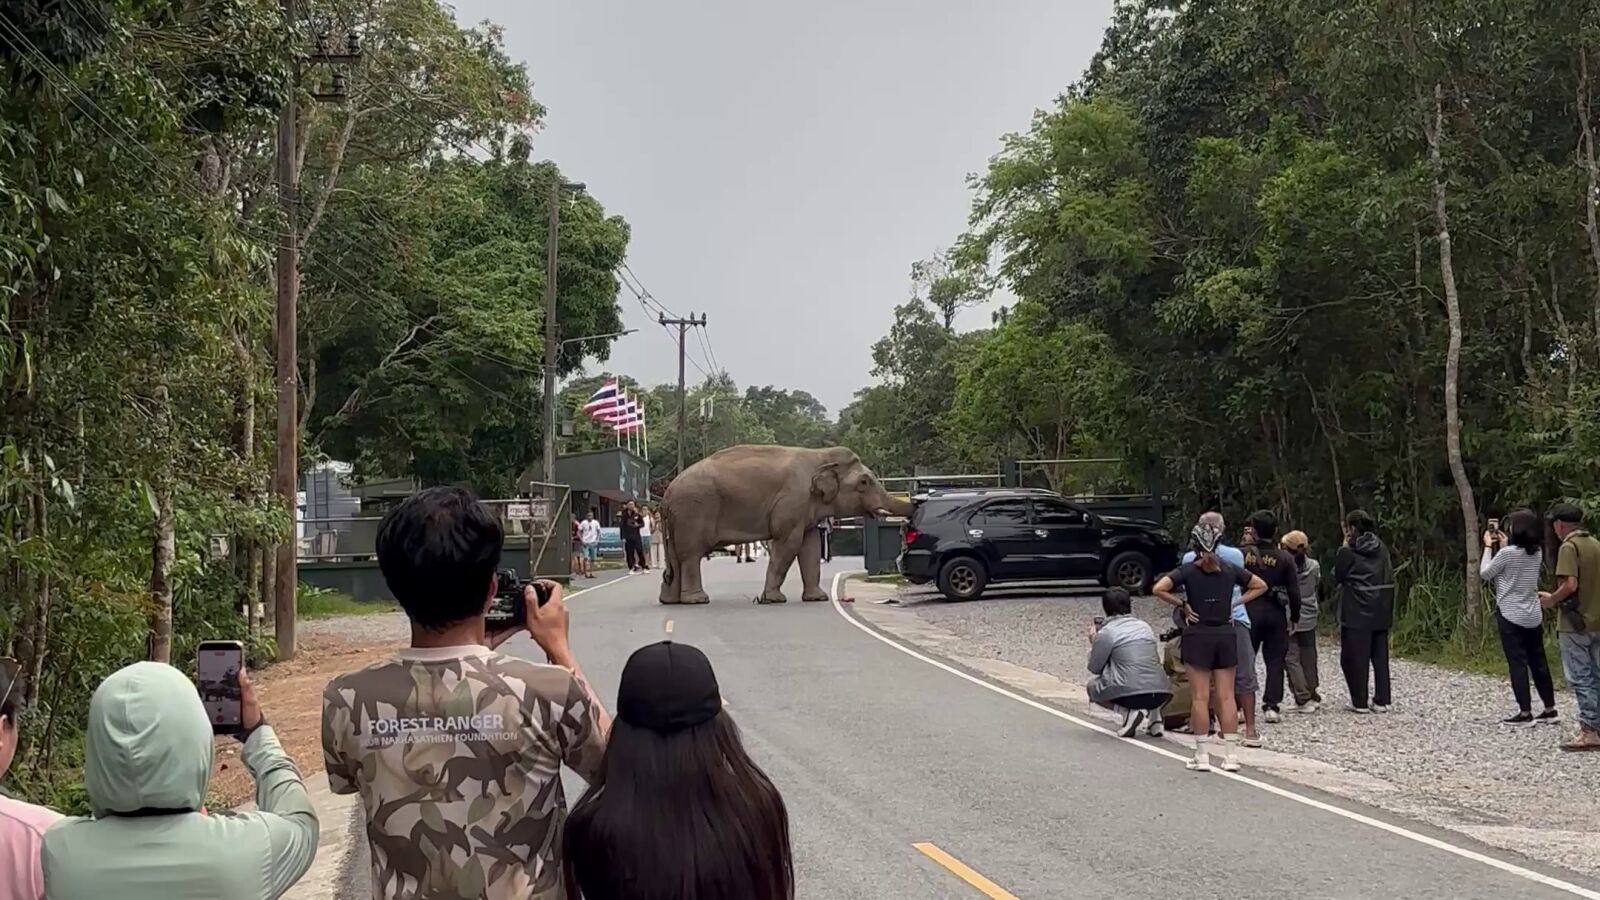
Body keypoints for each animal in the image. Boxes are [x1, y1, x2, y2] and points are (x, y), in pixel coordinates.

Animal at [658, 445, 912, 605]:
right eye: (864, 482)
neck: (820, 456)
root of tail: (666, 496)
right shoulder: (793, 501)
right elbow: (788, 544)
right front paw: (773, 599)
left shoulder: (806, 510)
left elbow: (810, 547)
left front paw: (817, 598)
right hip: (693, 511)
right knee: (691, 556)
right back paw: (697, 600)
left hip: (679, 519)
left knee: (676, 559)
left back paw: (670, 601)